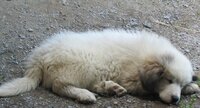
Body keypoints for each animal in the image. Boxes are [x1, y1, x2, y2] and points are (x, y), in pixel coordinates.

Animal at [0, 29, 199, 104]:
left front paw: (191, 85)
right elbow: (149, 89)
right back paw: (85, 95)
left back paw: (110, 88)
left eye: (179, 83)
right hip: (81, 65)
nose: (175, 100)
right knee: (59, 86)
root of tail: (38, 58)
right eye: (168, 80)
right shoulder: (133, 80)